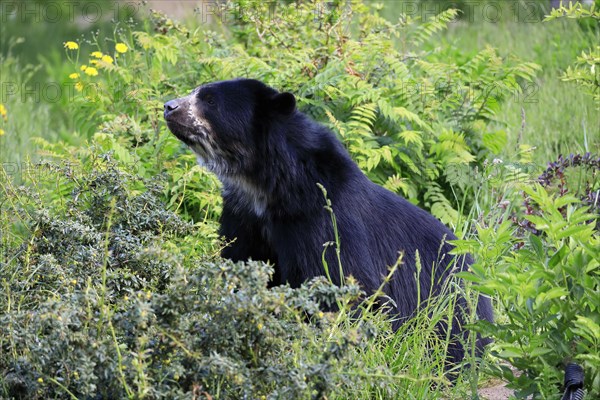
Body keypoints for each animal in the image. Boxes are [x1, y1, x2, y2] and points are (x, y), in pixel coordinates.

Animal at [164, 76, 492, 368]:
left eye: (210, 100)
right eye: (196, 92)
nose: (168, 106)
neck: (265, 185)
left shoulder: (323, 218)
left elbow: (341, 282)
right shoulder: (243, 218)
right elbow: (239, 264)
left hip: (451, 307)